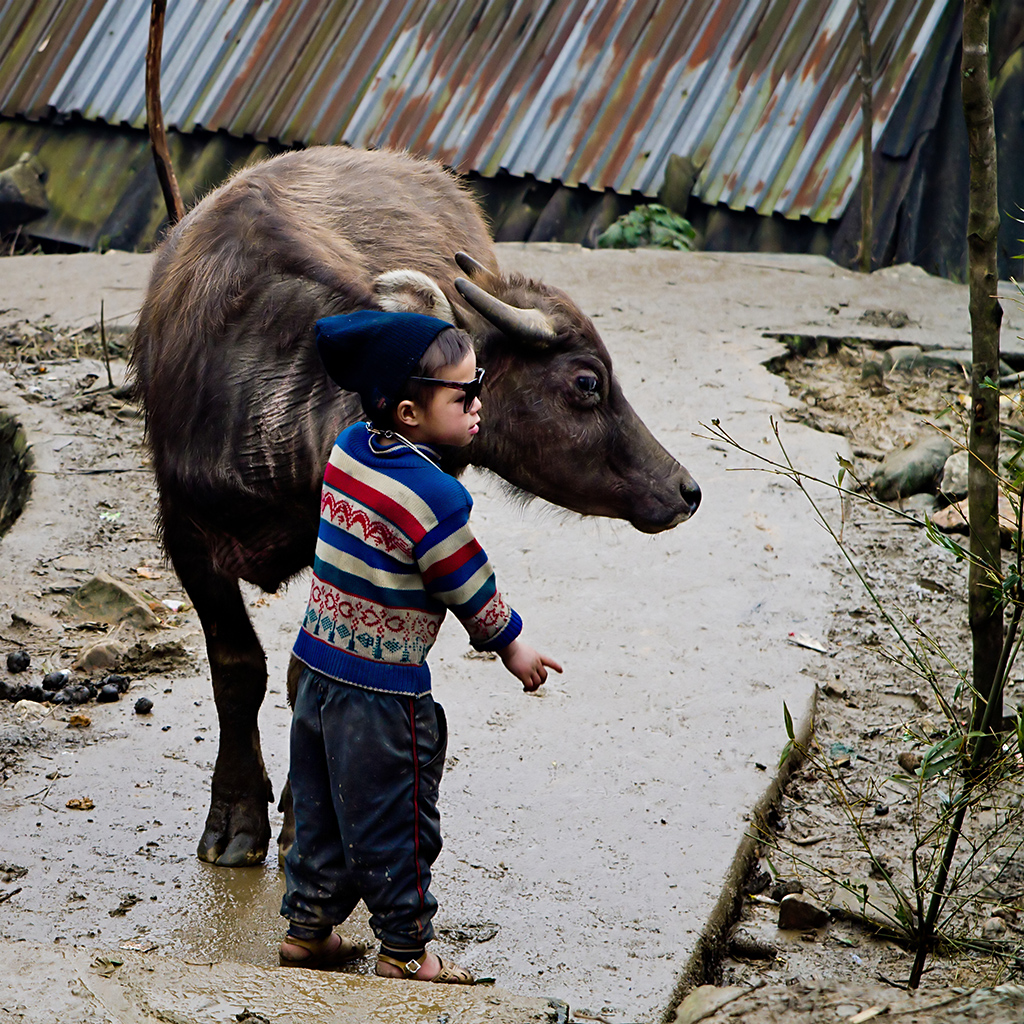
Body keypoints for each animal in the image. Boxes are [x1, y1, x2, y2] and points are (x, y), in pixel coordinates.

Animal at [131, 145, 700, 866]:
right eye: (587, 382)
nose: (686, 490)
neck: (264, 402)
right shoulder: (186, 535)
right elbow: (237, 669)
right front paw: (235, 816)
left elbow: (305, 671)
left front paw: (303, 817)